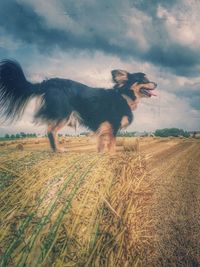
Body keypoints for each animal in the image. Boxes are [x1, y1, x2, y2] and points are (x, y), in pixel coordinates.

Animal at [0, 60, 156, 154]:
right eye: (144, 80)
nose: (156, 83)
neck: (124, 95)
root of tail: (47, 82)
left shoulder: (103, 128)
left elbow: (101, 144)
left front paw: (101, 154)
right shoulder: (113, 125)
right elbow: (112, 145)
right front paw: (112, 156)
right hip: (63, 113)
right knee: (51, 131)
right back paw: (58, 149)